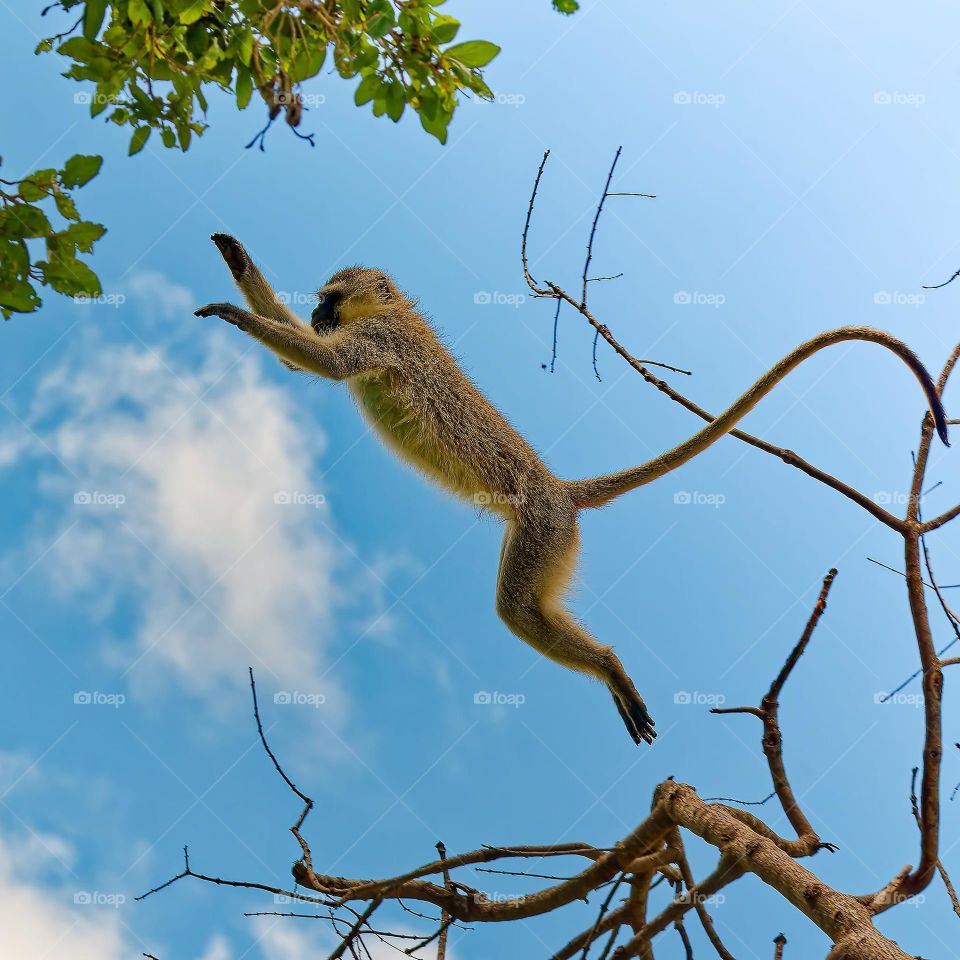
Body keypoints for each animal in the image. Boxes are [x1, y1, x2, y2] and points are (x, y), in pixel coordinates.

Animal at [195, 233, 949, 746]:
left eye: (331, 297)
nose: (321, 312)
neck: (391, 316)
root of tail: (560, 489)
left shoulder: (379, 338)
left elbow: (322, 364)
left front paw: (237, 310)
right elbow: (307, 361)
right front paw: (238, 264)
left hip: (542, 529)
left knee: (517, 610)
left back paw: (610, 666)